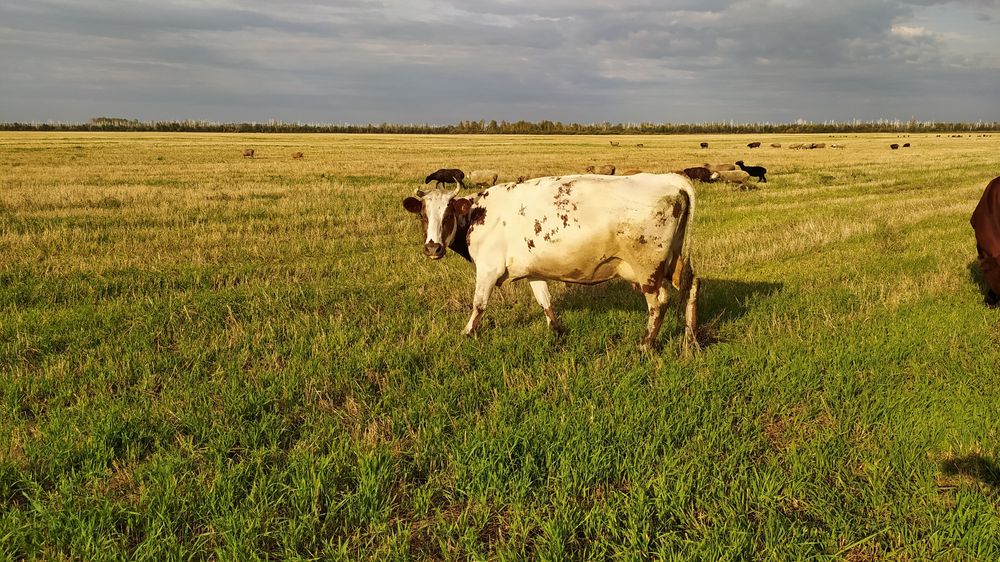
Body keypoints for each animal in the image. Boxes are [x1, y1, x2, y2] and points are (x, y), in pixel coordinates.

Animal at [401, 174, 701, 354]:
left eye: (447, 214)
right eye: (423, 216)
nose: (433, 247)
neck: (477, 214)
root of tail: (668, 178)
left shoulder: (488, 269)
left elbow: (479, 305)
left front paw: (467, 332)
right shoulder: (534, 270)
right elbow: (544, 300)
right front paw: (556, 331)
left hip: (648, 268)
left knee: (659, 302)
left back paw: (646, 344)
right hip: (673, 260)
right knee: (691, 286)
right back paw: (690, 338)